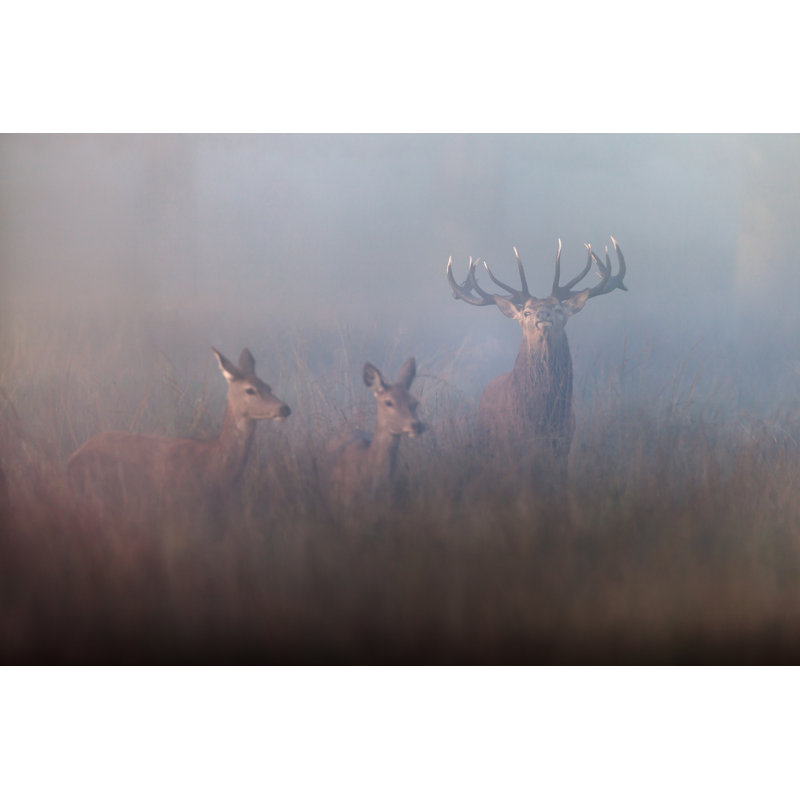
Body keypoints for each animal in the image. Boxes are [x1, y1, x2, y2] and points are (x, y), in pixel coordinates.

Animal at [447, 237, 627, 484]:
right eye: (526, 312)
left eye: (558, 308)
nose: (543, 314)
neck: (542, 414)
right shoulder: (515, 444)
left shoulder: (563, 443)